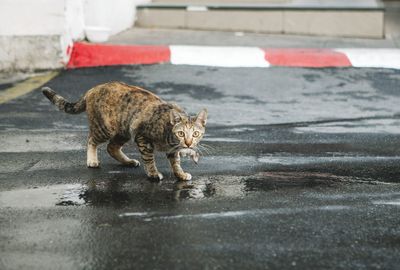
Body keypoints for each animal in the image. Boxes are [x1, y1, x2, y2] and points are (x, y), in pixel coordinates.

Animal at [42, 80, 208, 181]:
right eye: (181, 133)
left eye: (195, 134)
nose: (188, 143)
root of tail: (93, 89)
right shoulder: (142, 137)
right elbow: (149, 159)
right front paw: (153, 174)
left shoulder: (172, 149)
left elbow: (176, 162)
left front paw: (180, 174)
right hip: (106, 129)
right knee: (91, 140)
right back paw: (92, 160)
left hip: (124, 130)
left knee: (111, 147)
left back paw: (128, 161)